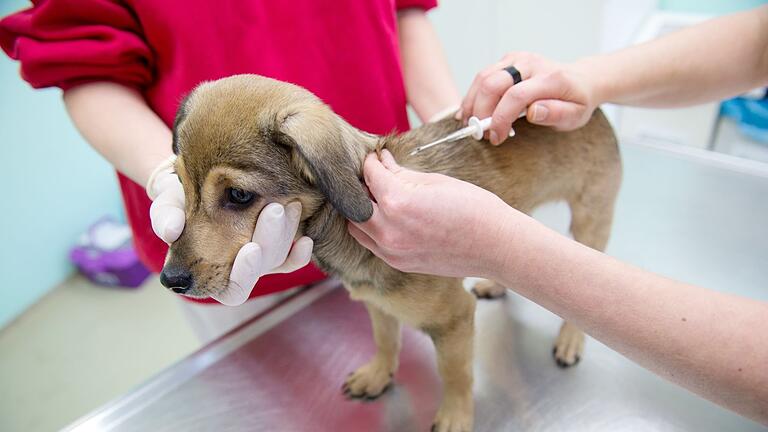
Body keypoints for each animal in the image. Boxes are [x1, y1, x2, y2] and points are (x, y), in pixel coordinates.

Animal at [164, 75, 624, 432]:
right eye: (179, 183)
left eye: (239, 196)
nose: (170, 280)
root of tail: (592, 110)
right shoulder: (377, 305)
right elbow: (386, 341)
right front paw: (379, 375)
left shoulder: (454, 320)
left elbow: (455, 374)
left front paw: (456, 414)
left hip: (591, 221)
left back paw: (570, 338)